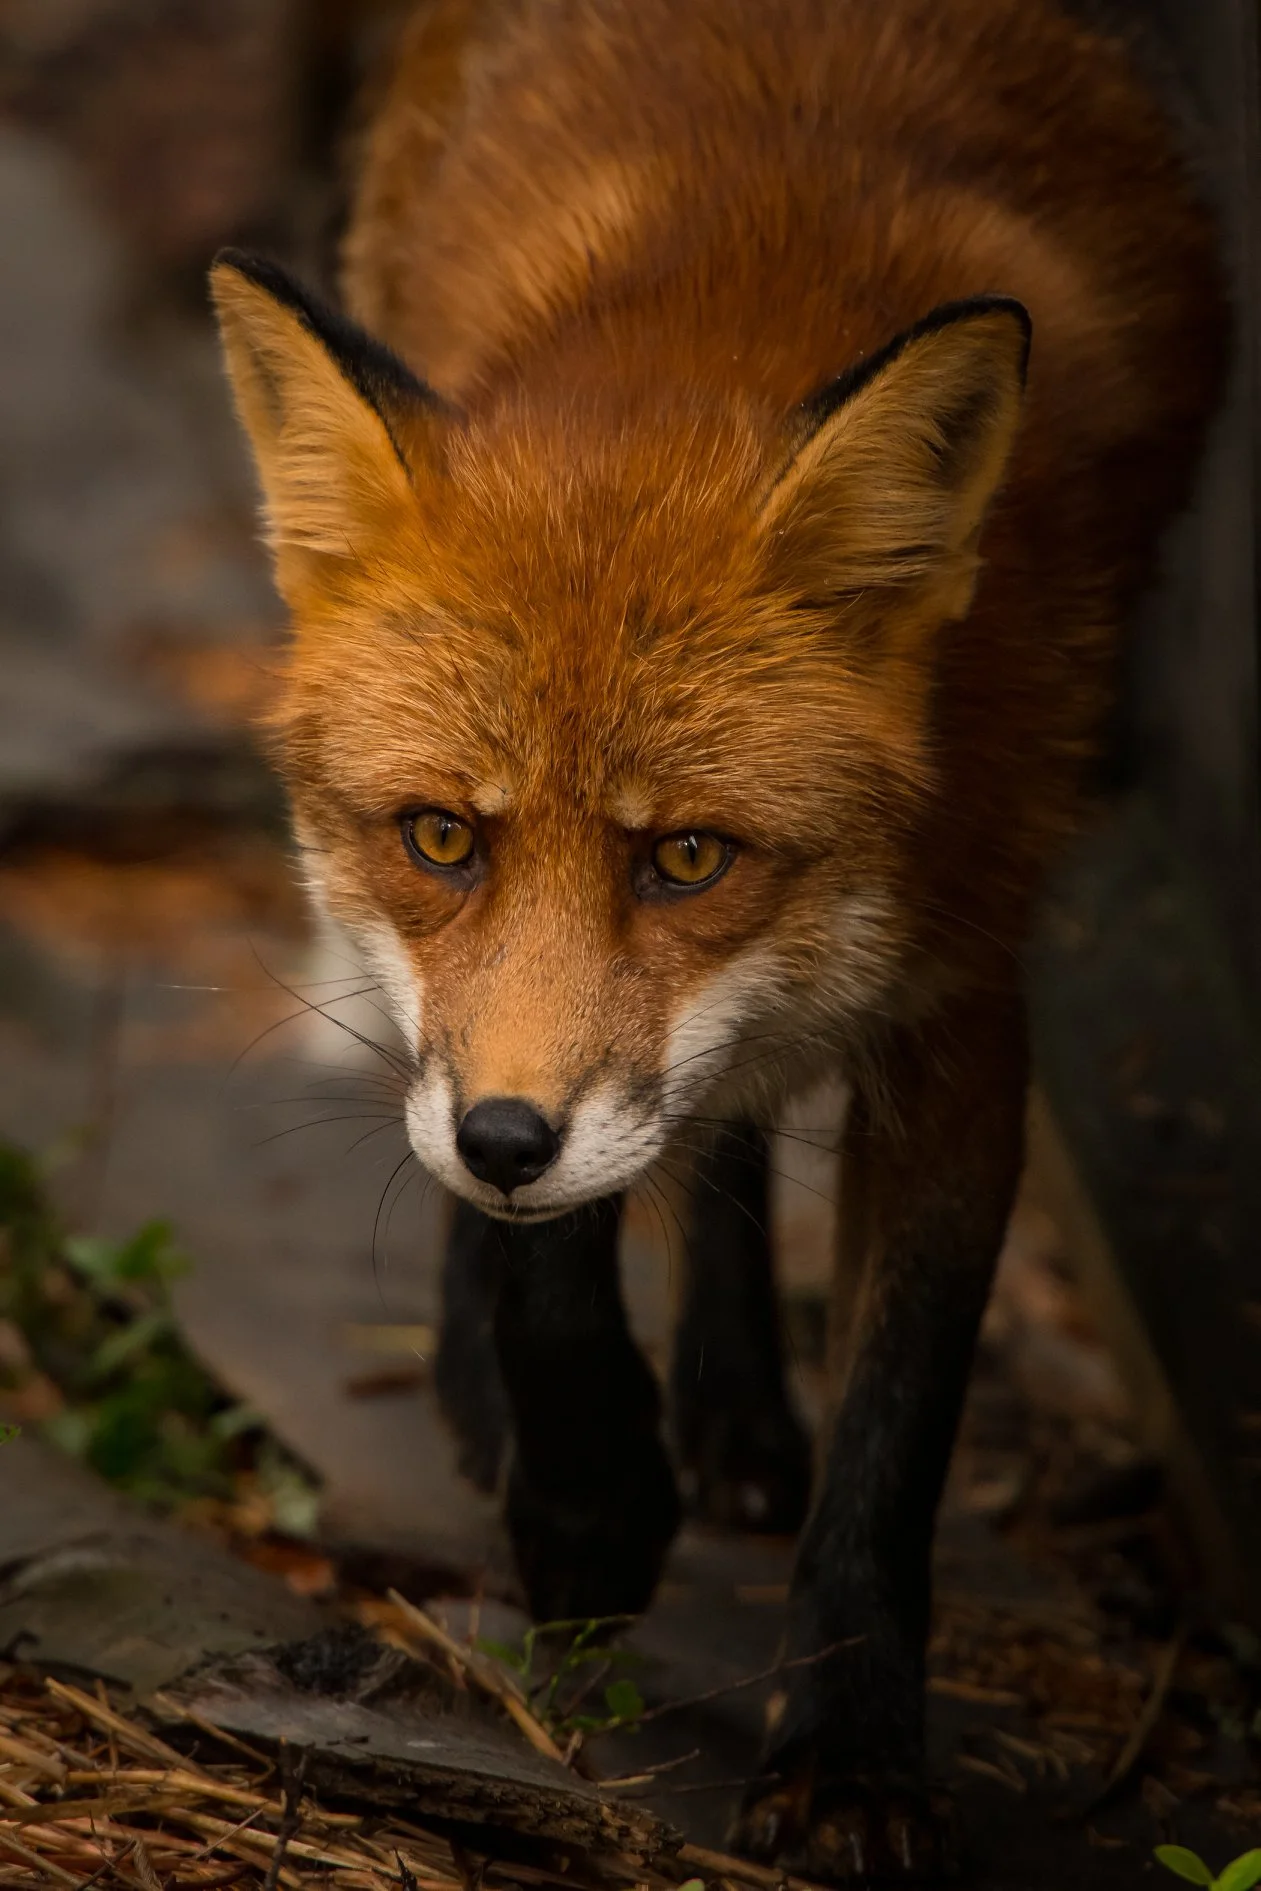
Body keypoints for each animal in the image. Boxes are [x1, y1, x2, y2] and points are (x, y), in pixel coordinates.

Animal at [211, 0, 1223, 1878]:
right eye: (443, 837)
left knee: (724, 1126)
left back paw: (736, 1401)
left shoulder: (960, 997)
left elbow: (896, 1426)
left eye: (688, 857)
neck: (740, 278)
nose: (505, 1140)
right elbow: (551, 1255)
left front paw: (848, 1751)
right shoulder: (507, 1073)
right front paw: (589, 1500)